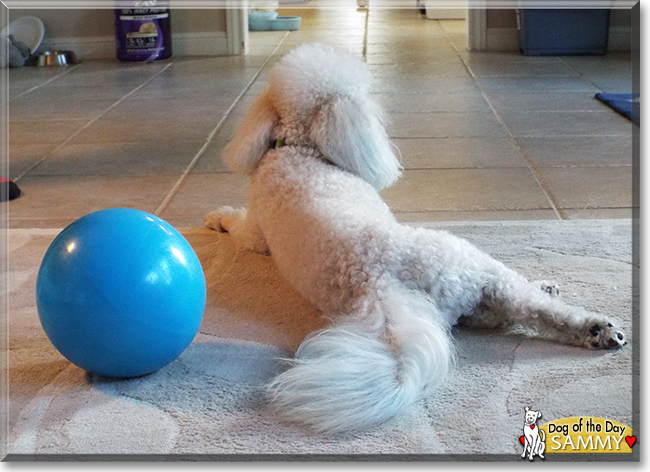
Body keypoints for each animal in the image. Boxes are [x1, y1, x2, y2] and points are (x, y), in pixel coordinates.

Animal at [205, 44, 624, 436]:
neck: (299, 150)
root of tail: (385, 285)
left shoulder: (255, 231)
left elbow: (236, 223)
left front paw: (215, 217)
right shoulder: (255, 233)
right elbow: (237, 224)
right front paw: (215, 217)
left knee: (526, 306)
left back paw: (579, 315)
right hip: (479, 274)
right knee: (531, 308)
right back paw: (593, 326)